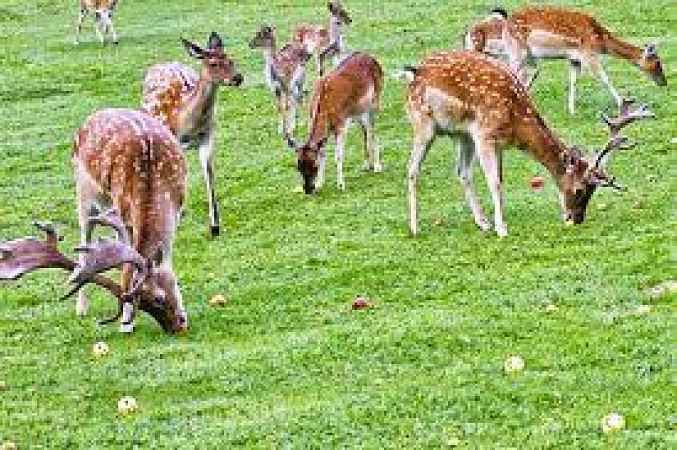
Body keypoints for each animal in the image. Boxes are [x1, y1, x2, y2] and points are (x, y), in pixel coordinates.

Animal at [71, 108, 190, 334]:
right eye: (142, 303)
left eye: (158, 298)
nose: (176, 327)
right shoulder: (125, 213)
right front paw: (126, 324)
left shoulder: (177, 209)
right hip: (84, 191)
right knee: (85, 238)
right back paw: (81, 307)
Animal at [141, 31, 243, 237]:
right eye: (213, 63)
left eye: (230, 59)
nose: (238, 78)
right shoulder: (174, 142)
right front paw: (178, 216)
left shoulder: (207, 136)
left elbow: (208, 171)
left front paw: (215, 225)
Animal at [282, 52, 382, 193]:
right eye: (298, 167)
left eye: (314, 166)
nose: (308, 189)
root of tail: (372, 58)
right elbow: (322, 153)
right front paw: (320, 184)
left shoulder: (341, 126)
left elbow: (338, 155)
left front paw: (341, 185)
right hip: (359, 111)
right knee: (365, 130)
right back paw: (366, 165)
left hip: (375, 101)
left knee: (374, 131)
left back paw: (377, 166)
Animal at [398, 51, 652, 237]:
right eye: (580, 189)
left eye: (593, 190)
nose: (576, 218)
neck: (516, 121)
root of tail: (412, 74)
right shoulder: (485, 134)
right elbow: (494, 182)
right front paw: (503, 229)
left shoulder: (494, 142)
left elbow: (499, 179)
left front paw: (497, 221)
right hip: (424, 123)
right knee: (412, 169)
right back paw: (415, 227)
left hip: (461, 134)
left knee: (462, 172)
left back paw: (483, 223)